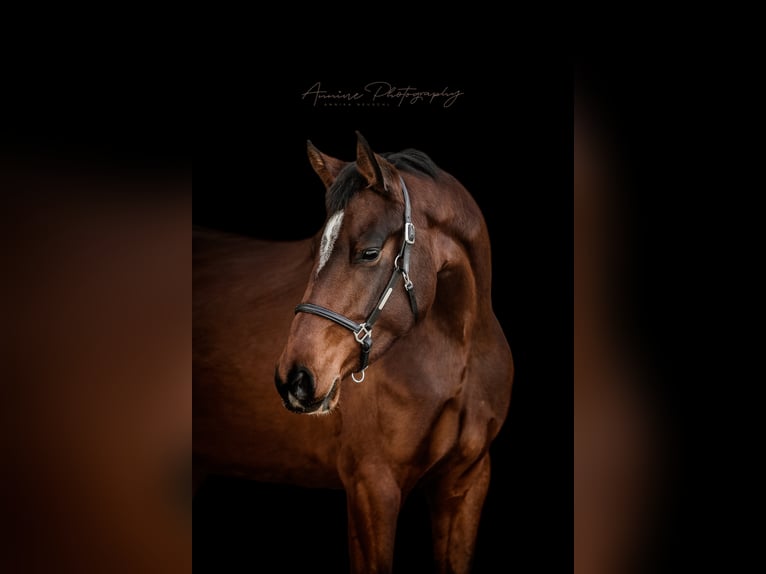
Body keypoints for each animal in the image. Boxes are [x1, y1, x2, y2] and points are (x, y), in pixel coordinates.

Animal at [193, 132, 514, 573]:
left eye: (370, 252)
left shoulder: (466, 483)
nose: (295, 377)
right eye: (316, 248)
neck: (459, 355)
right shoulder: (372, 487)